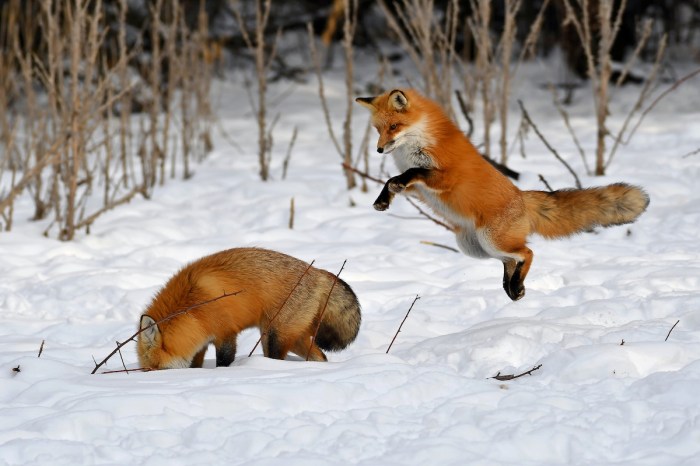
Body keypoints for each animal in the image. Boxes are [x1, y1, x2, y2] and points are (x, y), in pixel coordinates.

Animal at [137, 247, 361, 370]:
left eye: (153, 368)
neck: (192, 308)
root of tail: (317, 271)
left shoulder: (225, 333)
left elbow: (224, 361)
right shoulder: (200, 343)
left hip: (274, 337)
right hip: (292, 337)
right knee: (320, 357)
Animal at [356, 89, 649, 301]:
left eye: (394, 126)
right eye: (378, 129)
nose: (379, 150)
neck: (417, 143)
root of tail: (522, 195)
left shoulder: (445, 177)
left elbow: (413, 171)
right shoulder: (417, 189)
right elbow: (392, 181)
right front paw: (383, 200)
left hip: (492, 240)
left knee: (528, 253)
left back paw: (516, 286)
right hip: (477, 247)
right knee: (512, 260)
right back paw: (513, 288)